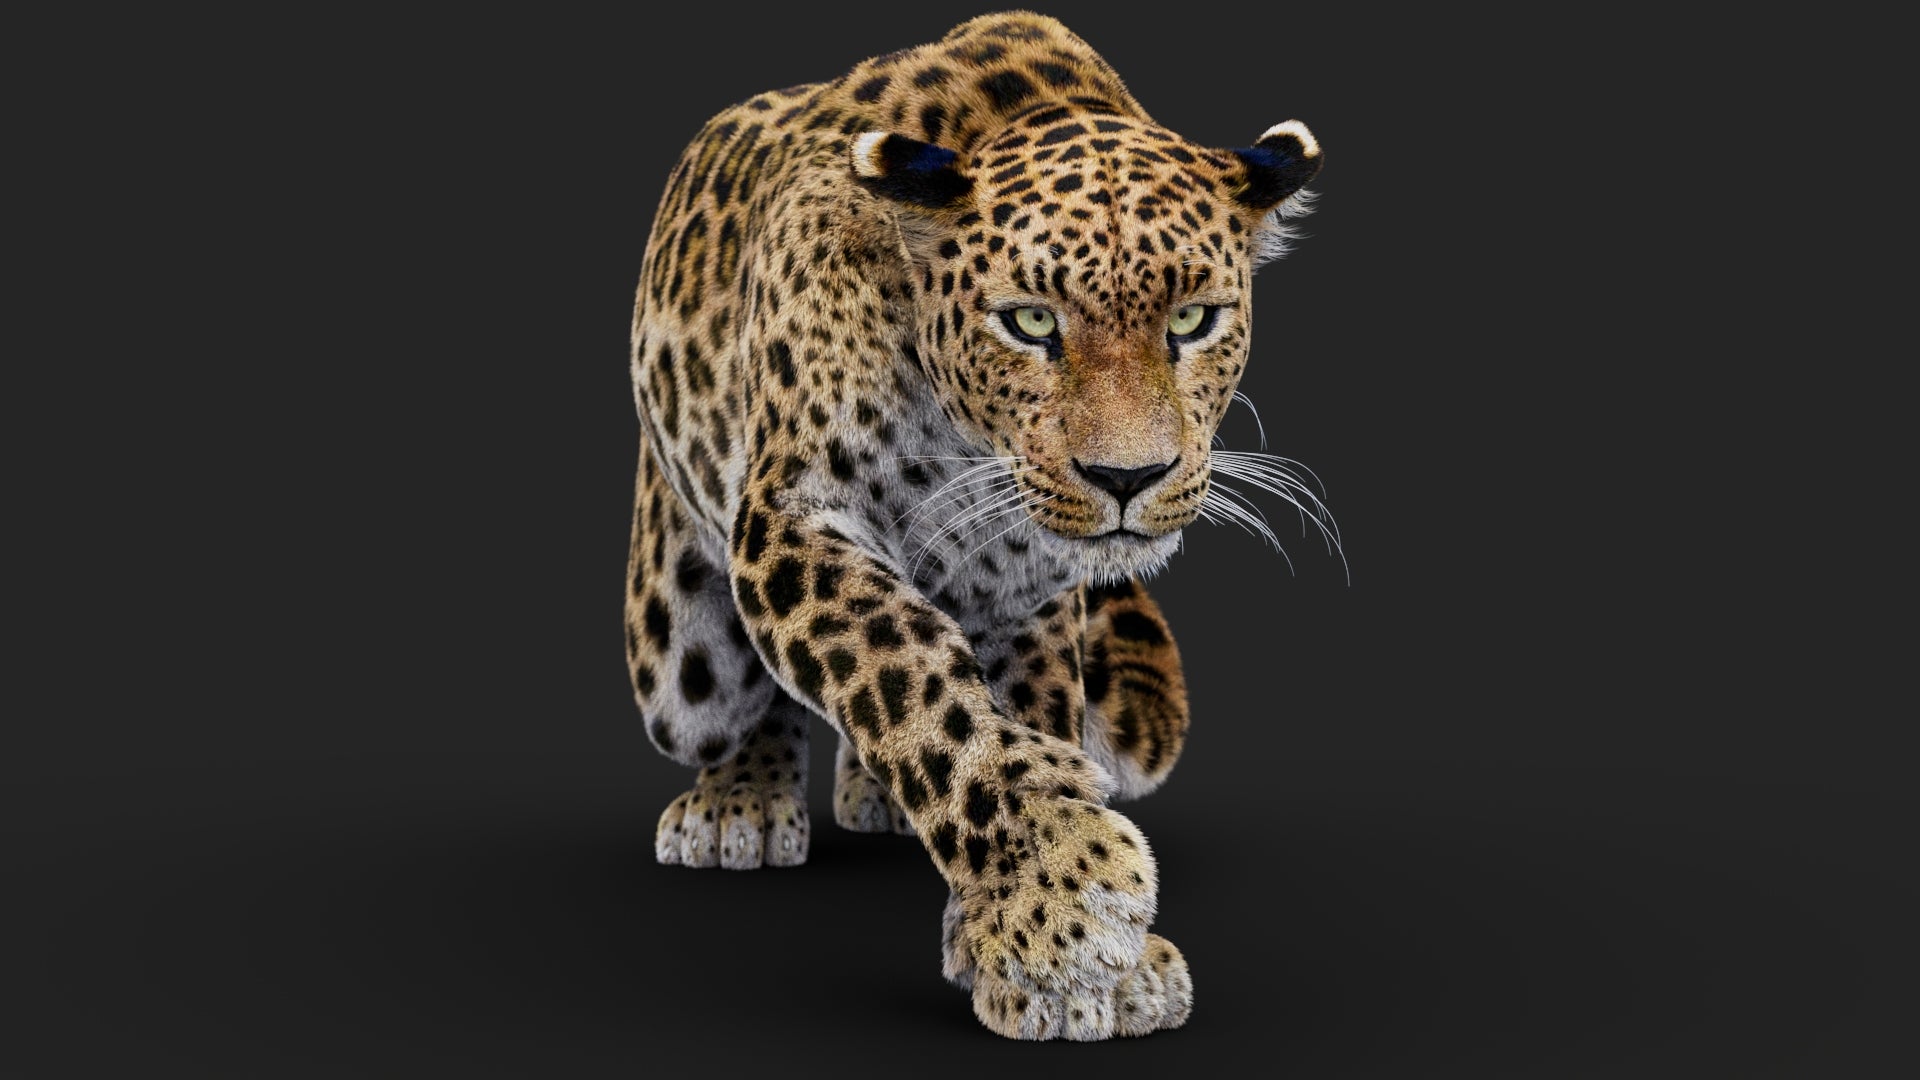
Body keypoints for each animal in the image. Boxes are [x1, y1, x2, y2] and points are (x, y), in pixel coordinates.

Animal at [623, 10, 1333, 1041]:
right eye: (1031, 322)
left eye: (1195, 320)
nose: (1130, 477)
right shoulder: (794, 516)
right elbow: (916, 685)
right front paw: (1066, 895)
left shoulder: (1026, 589)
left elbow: (1011, 714)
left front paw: (1047, 949)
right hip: (677, 664)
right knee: (734, 693)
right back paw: (738, 802)